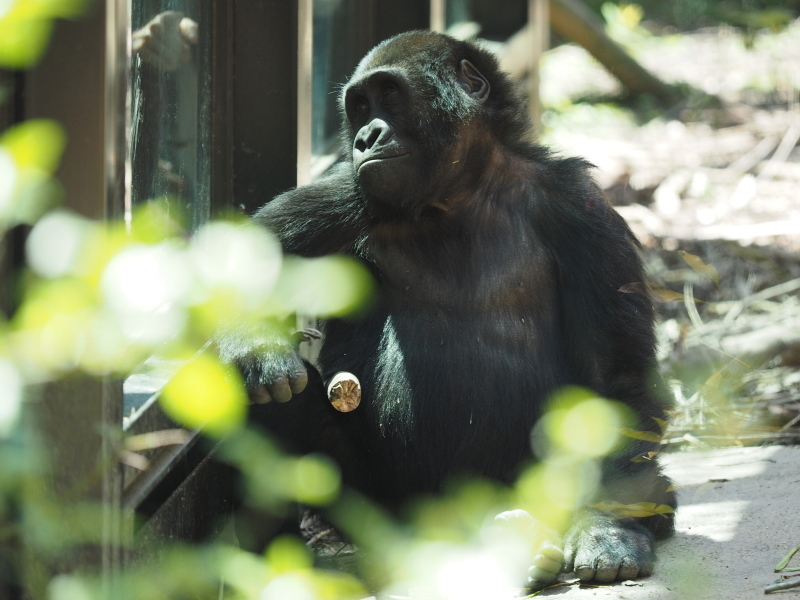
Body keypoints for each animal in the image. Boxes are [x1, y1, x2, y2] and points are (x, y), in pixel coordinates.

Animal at [219, 30, 676, 588]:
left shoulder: (580, 206)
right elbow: (245, 256)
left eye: (389, 96)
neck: (458, 193)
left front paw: (608, 528)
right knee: (271, 395)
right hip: (388, 509)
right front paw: (256, 348)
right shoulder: (345, 192)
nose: (366, 136)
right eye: (359, 106)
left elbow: (617, 377)